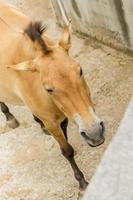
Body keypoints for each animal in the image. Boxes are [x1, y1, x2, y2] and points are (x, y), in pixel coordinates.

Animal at [0, 1, 105, 189]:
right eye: (48, 89)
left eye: (80, 71)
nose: (94, 133)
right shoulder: (52, 123)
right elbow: (67, 151)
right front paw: (81, 181)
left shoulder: (62, 117)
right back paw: (10, 117)